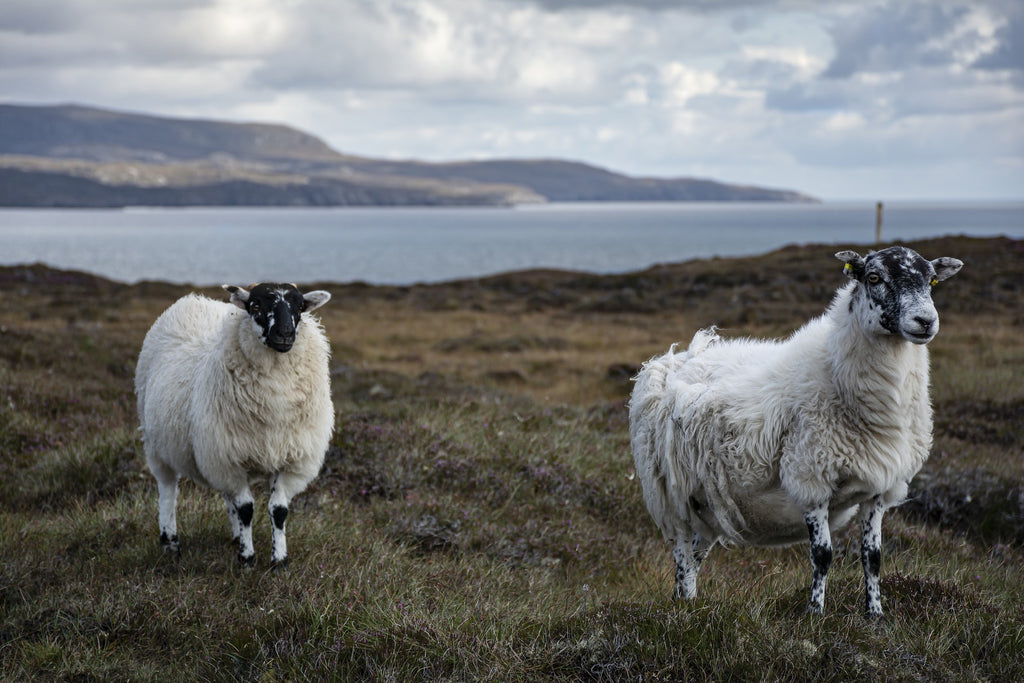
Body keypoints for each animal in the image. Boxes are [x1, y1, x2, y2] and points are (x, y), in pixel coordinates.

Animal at [135, 282, 333, 566]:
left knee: (226, 496)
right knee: (168, 491)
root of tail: (193, 301)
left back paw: (234, 536)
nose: (285, 334)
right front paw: (247, 558)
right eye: (256, 305)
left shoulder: (290, 460)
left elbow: (278, 510)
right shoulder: (230, 459)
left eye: (299, 307)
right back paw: (170, 541)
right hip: (158, 444)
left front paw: (279, 560)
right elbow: (247, 509)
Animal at [629, 246, 962, 617]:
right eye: (874, 277)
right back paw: (684, 610)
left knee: (695, 555)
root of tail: (675, 359)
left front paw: (875, 614)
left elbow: (873, 557)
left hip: (709, 504)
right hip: (674, 494)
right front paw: (815, 614)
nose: (925, 321)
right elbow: (823, 555)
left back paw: (687, 604)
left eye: (932, 281)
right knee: (683, 554)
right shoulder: (811, 478)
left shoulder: (880, 487)